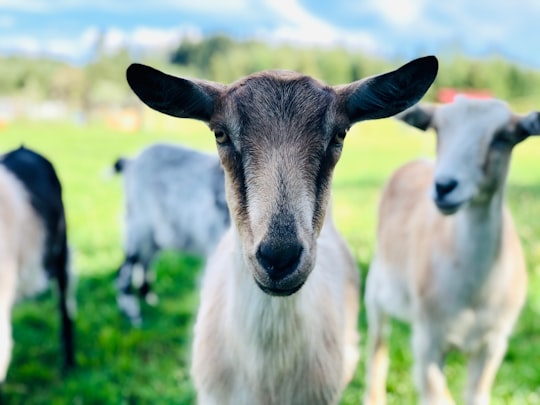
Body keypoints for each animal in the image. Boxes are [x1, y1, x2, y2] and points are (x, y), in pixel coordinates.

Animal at [364, 95, 536, 404]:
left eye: (503, 136)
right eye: (438, 129)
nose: (444, 186)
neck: (474, 292)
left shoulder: (494, 343)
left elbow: (476, 396)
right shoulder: (428, 342)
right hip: (375, 290)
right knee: (378, 348)